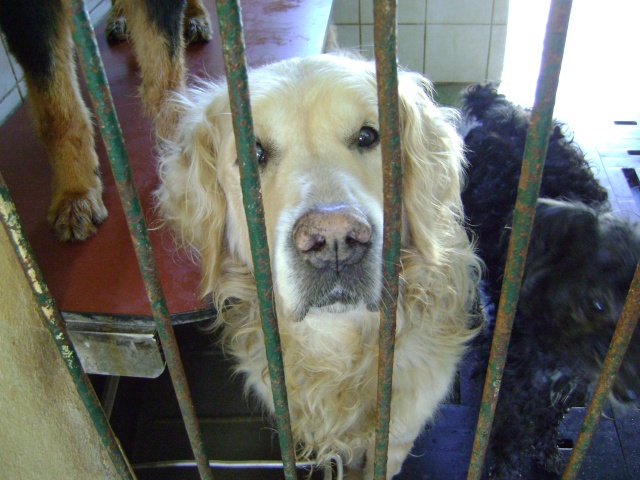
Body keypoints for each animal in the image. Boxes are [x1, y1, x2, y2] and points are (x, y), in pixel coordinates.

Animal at [460, 84, 640, 478]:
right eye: (597, 303)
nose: (634, 391)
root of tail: (501, 107)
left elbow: (546, 423)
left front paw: (548, 452)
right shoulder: (513, 380)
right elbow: (508, 430)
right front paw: (504, 466)